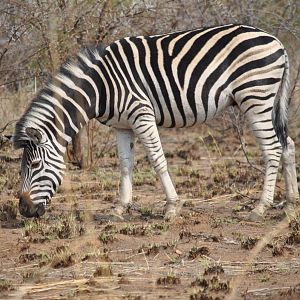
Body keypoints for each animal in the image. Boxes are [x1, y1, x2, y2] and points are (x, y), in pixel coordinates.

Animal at [14, 24, 300, 220]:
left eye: (35, 165)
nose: (25, 210)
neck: (100, 87)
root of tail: (277, 41)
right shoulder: (122, 126)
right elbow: (125, 164)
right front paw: (120, 208)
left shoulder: (141, 114)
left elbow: (156, 158)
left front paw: (172, 206)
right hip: (268, 100)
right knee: (287, 144)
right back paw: (290, 204)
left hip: (255, 97)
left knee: (273, 149)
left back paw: (260, 207)